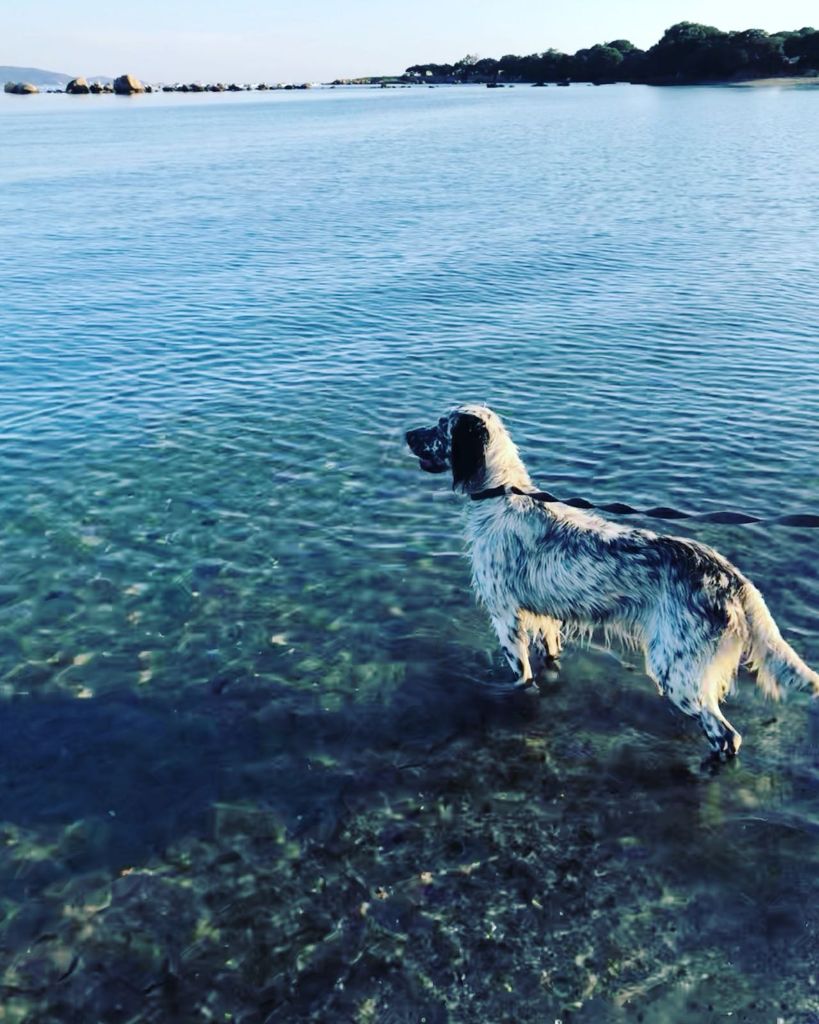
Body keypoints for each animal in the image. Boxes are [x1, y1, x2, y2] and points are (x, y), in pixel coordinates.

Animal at [405, 403, 818, 757]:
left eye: (440, 426)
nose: (407, 434)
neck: (502, 496)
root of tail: (731, 577)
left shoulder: (505, 616)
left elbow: (521, 675)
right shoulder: (546, 619)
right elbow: (549, 658)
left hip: (674, 669)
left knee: (726, 735)